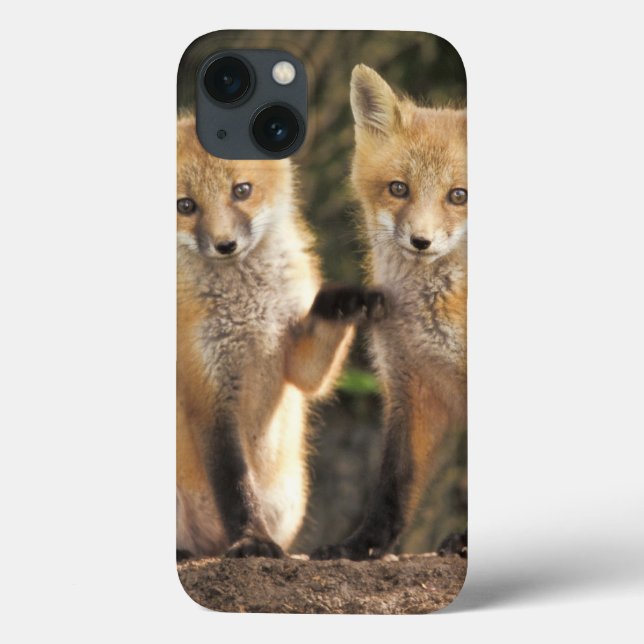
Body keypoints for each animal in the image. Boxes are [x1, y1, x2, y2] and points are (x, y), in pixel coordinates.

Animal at [176, 113, 384, 559]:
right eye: (184, 205)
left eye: (241, 190)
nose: (225, 245)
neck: (248, 308)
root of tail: (207, 545)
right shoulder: (208, 390)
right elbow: (236, 487)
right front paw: (251, 540)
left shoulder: (295, 360)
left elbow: (312, 365)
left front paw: (347, 300)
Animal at [312, 65, 467, 560]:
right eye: (399, 188)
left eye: (459, 196)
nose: (421, 241)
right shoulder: (409, 386)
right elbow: (393, 484)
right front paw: (360, 546)